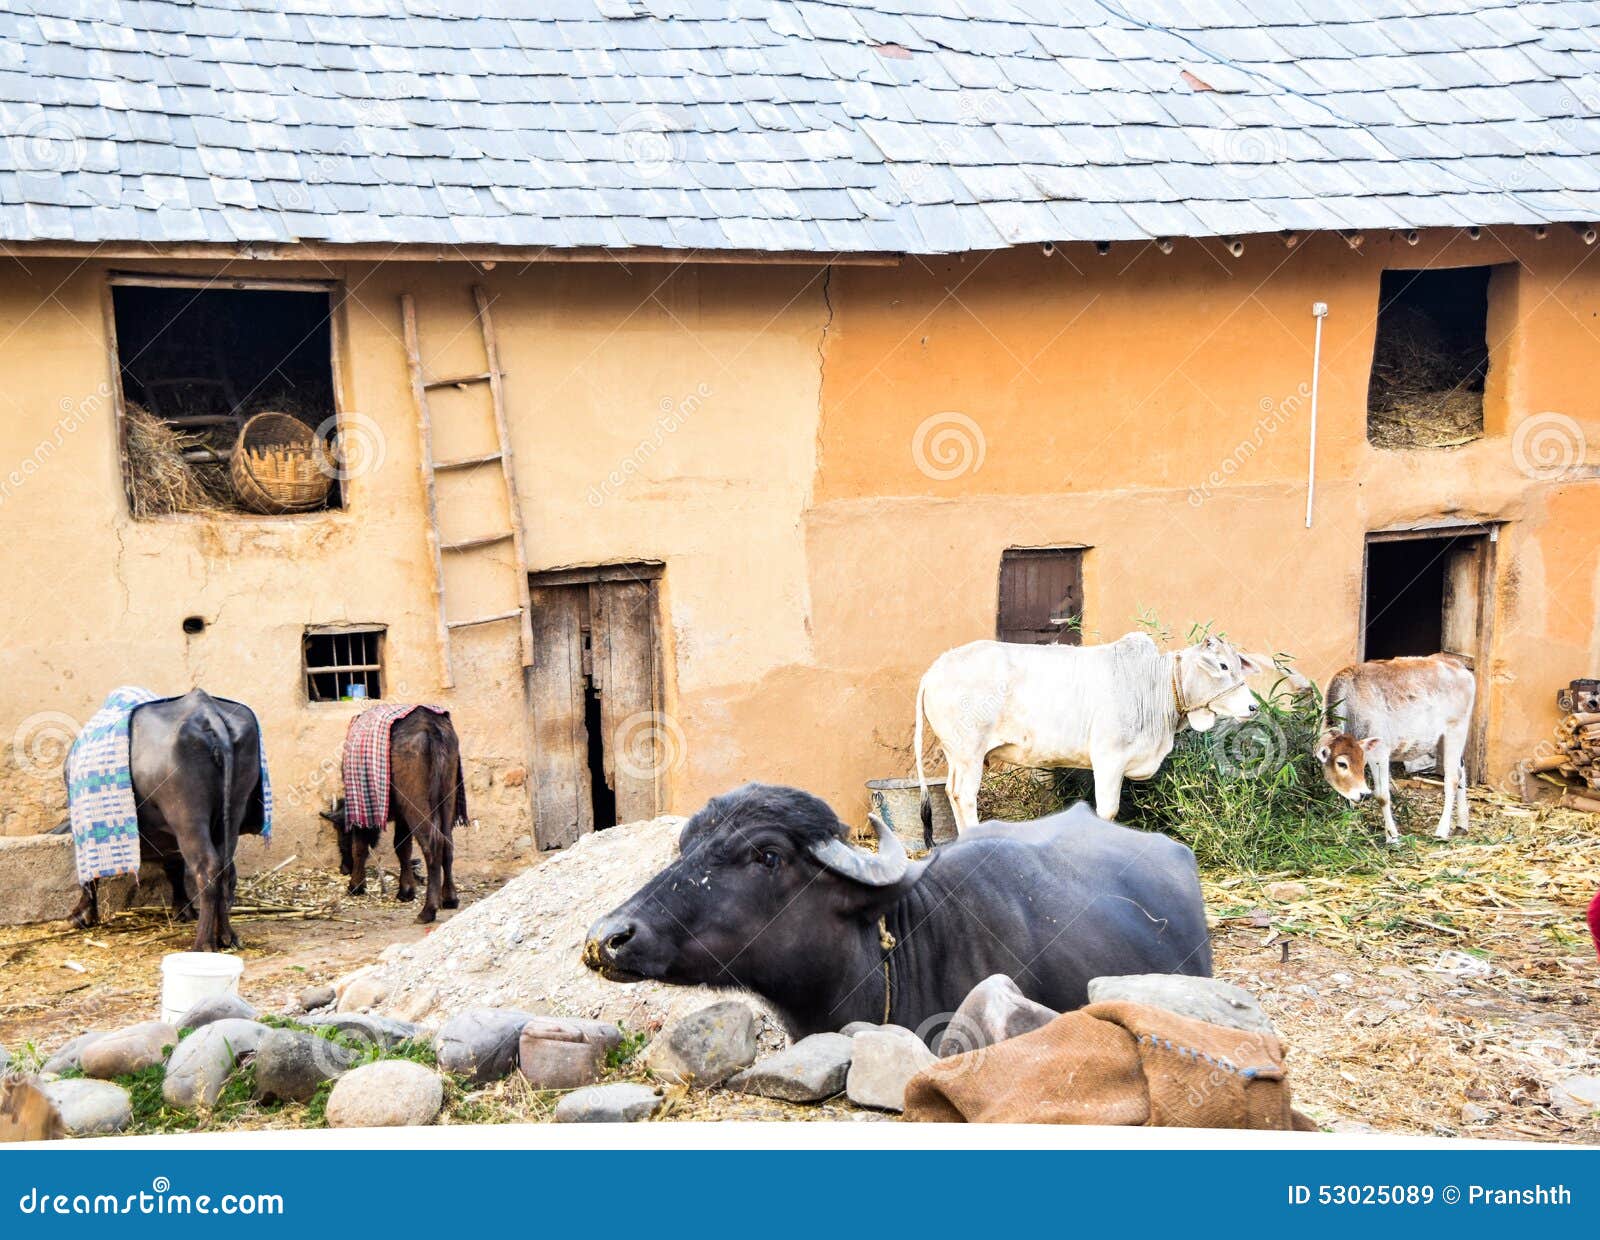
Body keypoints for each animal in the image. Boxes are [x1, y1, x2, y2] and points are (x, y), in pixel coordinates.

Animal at [68, 688, 267, 953]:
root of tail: (207, 713)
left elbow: (90, 873)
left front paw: (81, 915)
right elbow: (174, 864)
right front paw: (183, 909)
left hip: (187, 815)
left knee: (207, 867)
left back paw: (202, 943)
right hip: (232, 811)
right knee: (226, 869)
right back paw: (226, 935)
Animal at [320, 707, 467, 921]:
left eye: (341, 832)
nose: (343, 869)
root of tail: (431, 726)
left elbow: (360, 847)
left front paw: (356, 885)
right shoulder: (402, 817)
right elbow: (402, 847)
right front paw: (406, 891)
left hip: (417, 805)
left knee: (432, 845)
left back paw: (428, 910)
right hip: (447, 799)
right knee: (447, 843)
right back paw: (449, 898)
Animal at [1312, 656, 1472, 851]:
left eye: (1362, 762)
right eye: (1342, 764)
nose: (1364, 794)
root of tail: (1455, 663)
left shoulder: (1379, 753)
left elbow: (1382, 795)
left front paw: (1393, 838)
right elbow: (1348, 799)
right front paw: (1348, 831)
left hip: (1455, 731)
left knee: (1452, 779)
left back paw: (1441, 831)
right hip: (1444, 740)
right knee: (1461, 772)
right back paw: (1462, 825)